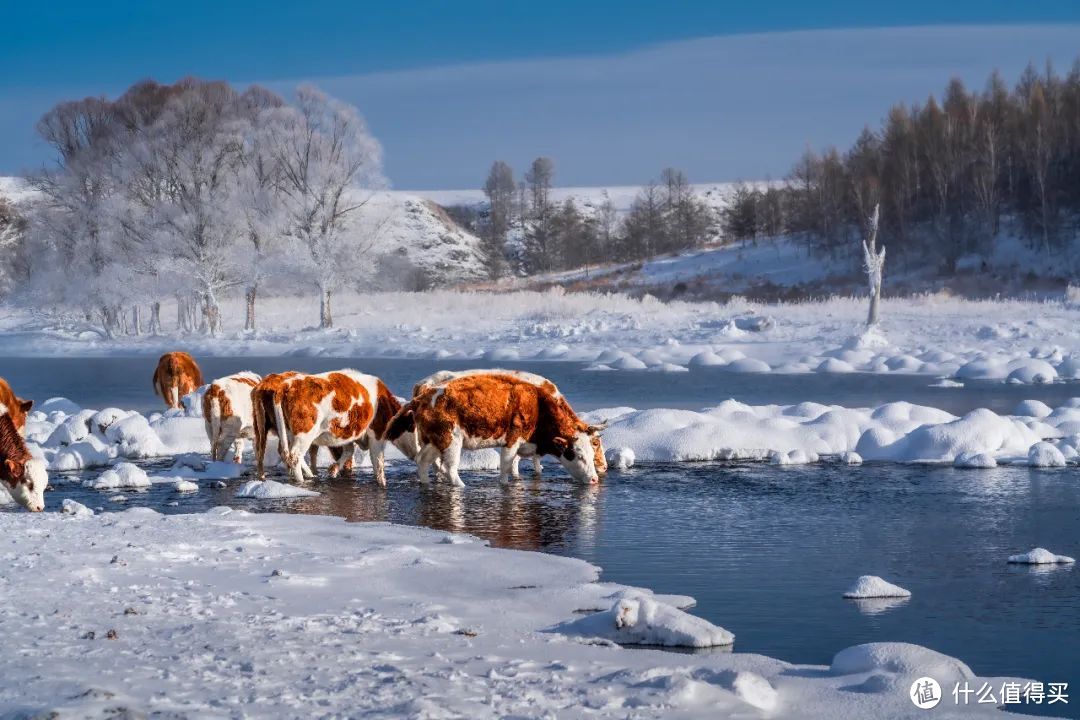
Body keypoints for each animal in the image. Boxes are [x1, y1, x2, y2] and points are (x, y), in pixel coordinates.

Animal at [250, 371, 403, 483]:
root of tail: (285, 385)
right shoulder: (376, 434)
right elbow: (378, 463)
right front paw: (382, 483)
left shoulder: (346, 433)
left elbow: (348, 450)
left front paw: (333, 470)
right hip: (304, 433)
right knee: (294, 456)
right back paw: (302, 481)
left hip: (272, 430)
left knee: (269, 452)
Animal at [406, 369, 609, 481]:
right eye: (595, 443)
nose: (599, 473)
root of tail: (423, 390)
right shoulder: (513, 441)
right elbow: (508, 467)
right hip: (451, 440)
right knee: (446, 467)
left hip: (431, 440)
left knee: (425, 461)